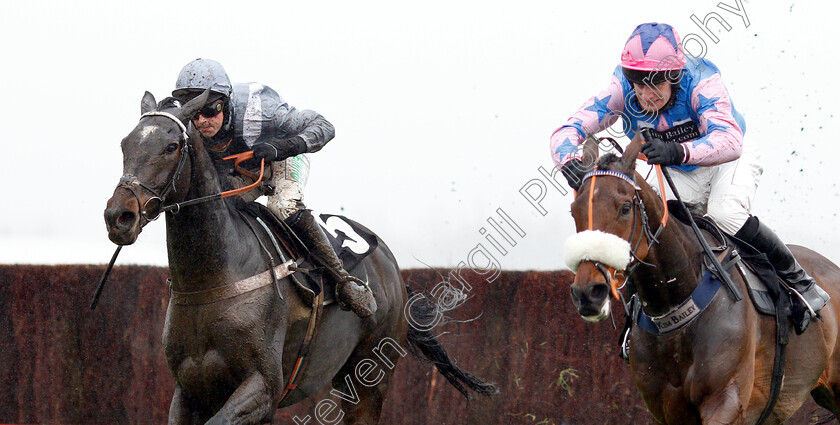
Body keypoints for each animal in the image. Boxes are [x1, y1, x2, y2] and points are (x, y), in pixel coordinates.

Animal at [101, 91, 496, 422]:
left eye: (170, 146)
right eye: (124, 144)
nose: (119, 216)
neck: (214, 278)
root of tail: (394, 270)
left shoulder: (262, 387)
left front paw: (268, 149)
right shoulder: (190, 392)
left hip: (370, 378)